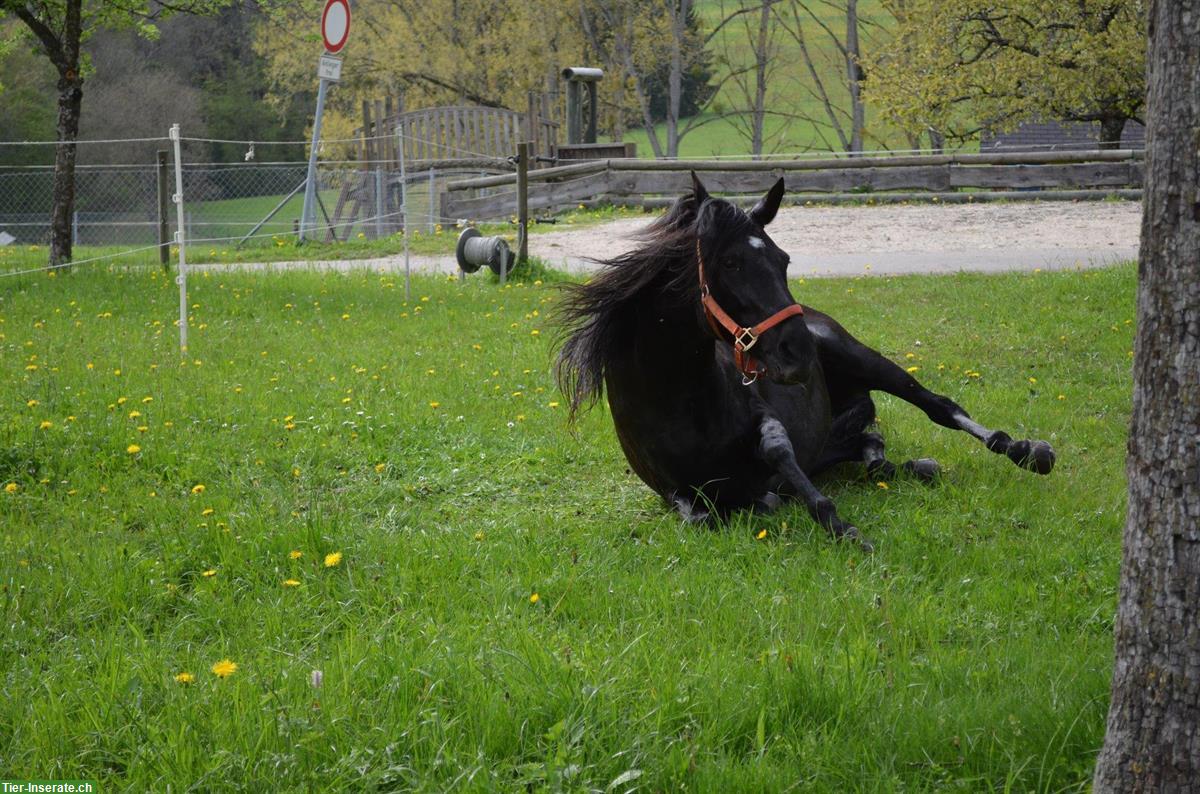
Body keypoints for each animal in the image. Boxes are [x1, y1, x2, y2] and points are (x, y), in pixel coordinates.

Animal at [552, 175, 1051, 551]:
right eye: (730, 262)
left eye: (783, 259)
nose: (800, 353)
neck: (673, 397)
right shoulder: (671, 491)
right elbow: (704, 515)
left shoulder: (767, 420)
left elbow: (777, 453)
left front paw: (842, 527)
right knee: (872, 448)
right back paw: (911, 465)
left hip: (865, 360)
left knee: (938, 406)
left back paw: (1025, 451)